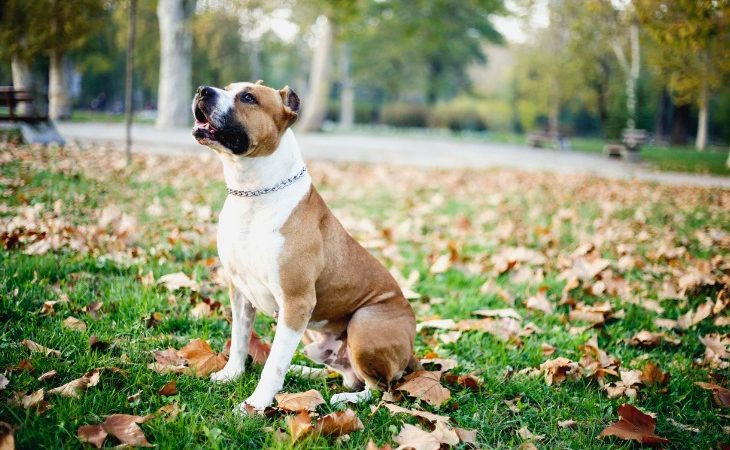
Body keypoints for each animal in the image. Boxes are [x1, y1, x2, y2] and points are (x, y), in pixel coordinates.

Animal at [191, 81, 418, 412]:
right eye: (227, 88)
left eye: (248, 97)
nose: (202, 90)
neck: (254, 193)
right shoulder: (240, 290)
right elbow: (241, 338)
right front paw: (232, 374)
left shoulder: (296, 301)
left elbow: (274, 364)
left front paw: (255, 404)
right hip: (314, 336)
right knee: (344, 373)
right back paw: (303, 371)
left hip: (363, 323)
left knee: (379, 387)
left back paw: (346, 398)